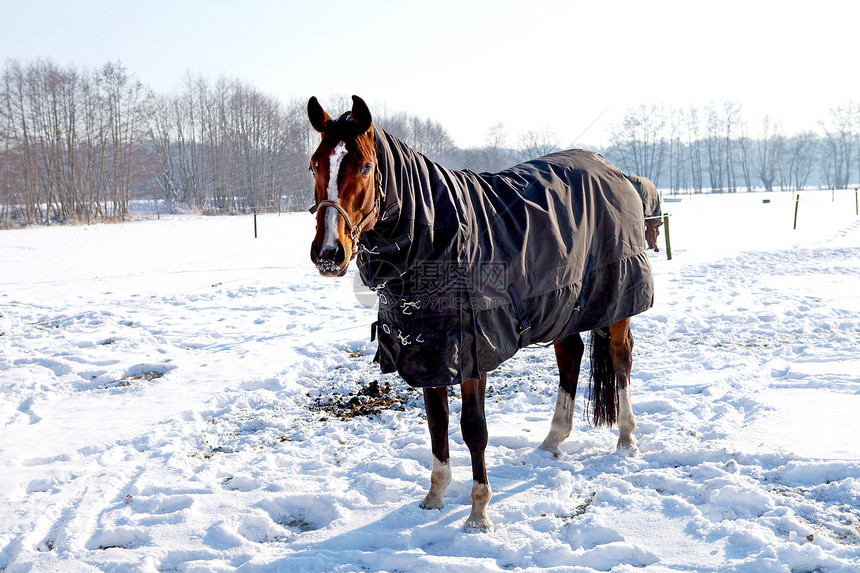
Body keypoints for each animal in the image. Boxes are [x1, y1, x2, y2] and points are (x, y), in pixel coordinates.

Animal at [308, 95, 652, 532]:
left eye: (366, 166)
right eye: (315, 164)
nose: (329, 253)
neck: (435, 241)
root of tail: (610, 167)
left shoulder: (473, 353)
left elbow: (473, 430)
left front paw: (478, 514)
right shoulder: (430, 352)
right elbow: (436, 424)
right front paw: (435, 497)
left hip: (617, 299)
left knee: (621, 359)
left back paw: (627, 438)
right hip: (562, 302)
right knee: (570, 354)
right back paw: (553, 439)